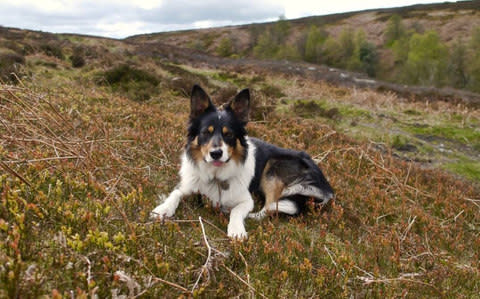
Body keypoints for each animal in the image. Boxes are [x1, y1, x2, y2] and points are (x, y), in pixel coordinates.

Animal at [151, 85, 334, 240]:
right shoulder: (188, 184)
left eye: (229, 134)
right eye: (205, 132)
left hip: (273, 169)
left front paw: (236, 229)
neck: (216, 176)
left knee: (269, 207)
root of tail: (325, 185)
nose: (216, 154)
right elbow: (175, 194)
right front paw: (163, 209)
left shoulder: (247, 200)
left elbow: (237, 211)